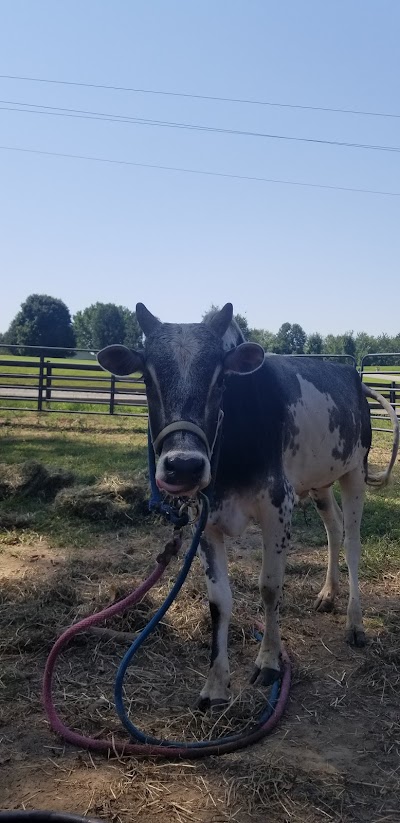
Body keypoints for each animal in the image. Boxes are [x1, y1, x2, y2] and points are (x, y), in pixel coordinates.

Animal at [97, 306, 400, 712]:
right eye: (147, 376)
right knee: (334, 529)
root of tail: (351, 374)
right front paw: (215, 684)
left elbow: (270, 587)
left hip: (354, 473)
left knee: (352, 544)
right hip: (320, 483)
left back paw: (354, 623)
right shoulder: (206, 521)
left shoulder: (278, 506)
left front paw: (269, 662)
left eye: (220, 379)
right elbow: (219, 602)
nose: (183, 466)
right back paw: (327, 594)